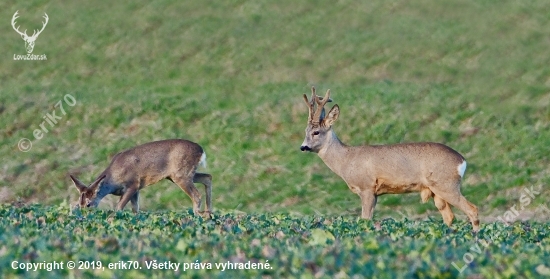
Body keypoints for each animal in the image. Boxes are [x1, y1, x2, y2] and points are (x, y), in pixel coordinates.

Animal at [70, 139, 212, 215]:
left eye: (88, 204)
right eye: (79, 204)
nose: (83, 215)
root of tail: (201, 150)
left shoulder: (133, 184)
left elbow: (119, 207)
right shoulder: (136, 190)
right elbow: (135, 210)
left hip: (181, 174)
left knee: (197, 194)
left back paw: (198, 215)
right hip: (179, 175)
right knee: (208, 177)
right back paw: (208, 212)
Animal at [300, 87, 480, 232]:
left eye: (316, 132)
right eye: (305, 131)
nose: (303, 147)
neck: (346, 159)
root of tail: (461, 160)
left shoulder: (367, 187)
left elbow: (365, 219)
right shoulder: (375, 193)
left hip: (447, 185)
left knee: (472, 209)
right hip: (437, 190)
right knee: (449, 216)